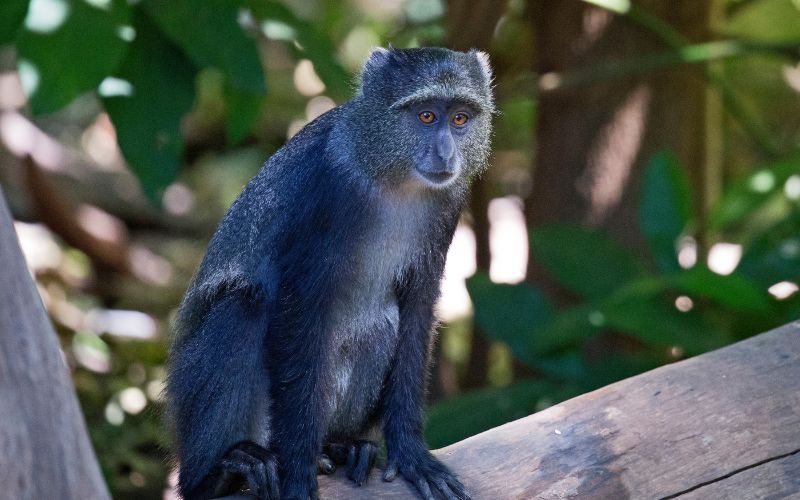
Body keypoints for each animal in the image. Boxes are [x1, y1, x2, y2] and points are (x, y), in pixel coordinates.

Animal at [166, 47, 494, 500]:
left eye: (460, 118)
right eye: (426, 116)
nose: (446, 154)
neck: (390, 176)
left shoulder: (448, 208)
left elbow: (416, 312)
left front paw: (411, 453)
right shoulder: (324, 194)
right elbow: (298, 310)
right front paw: (297, 474)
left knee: (380, 324)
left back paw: (340, 446)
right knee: (241, 308)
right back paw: (218, 475)